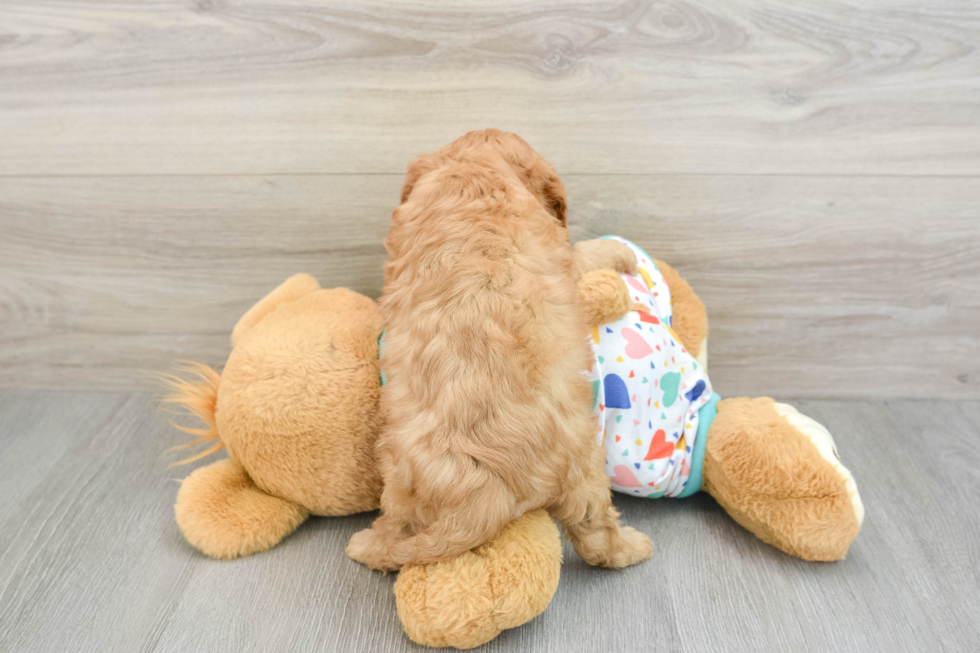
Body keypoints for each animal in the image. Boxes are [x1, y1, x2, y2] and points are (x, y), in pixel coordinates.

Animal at [344, 130, 652, 568]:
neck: (473, 175)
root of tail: (483, 493)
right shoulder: (561, 257)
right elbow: (580, 253)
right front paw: (617, 252)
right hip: (583, 464)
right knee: (595, 532)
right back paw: (632, 547)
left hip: (406, 481)